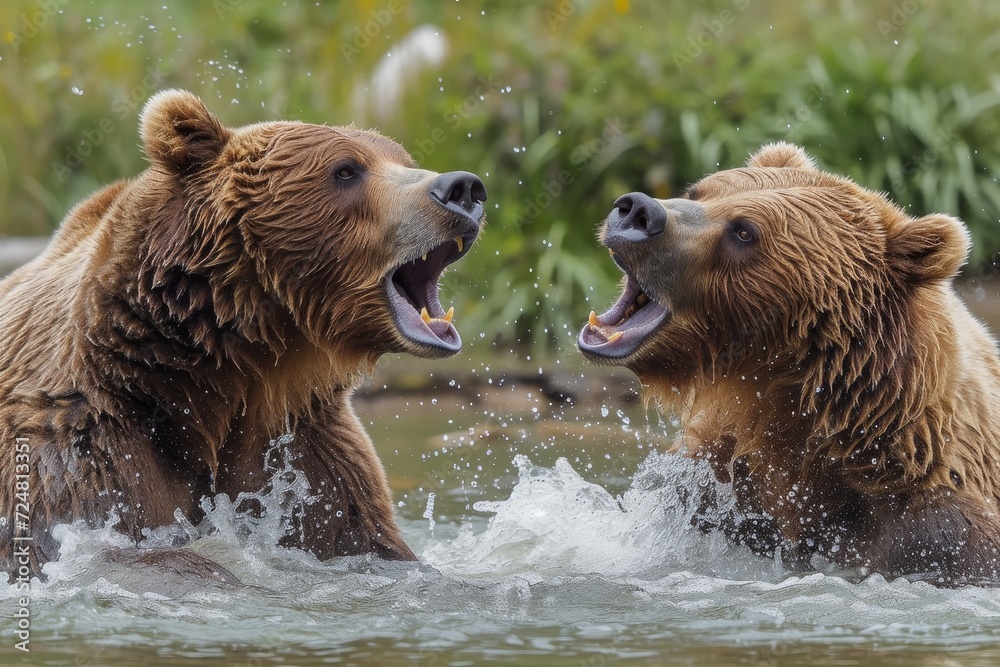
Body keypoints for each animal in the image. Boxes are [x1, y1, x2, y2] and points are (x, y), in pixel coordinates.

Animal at [0, 89, 487, 578]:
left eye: (404, 159)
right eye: (346, 169)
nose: (462, 188)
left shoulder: (308, 453)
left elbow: (363, 538)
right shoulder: (83, 449)